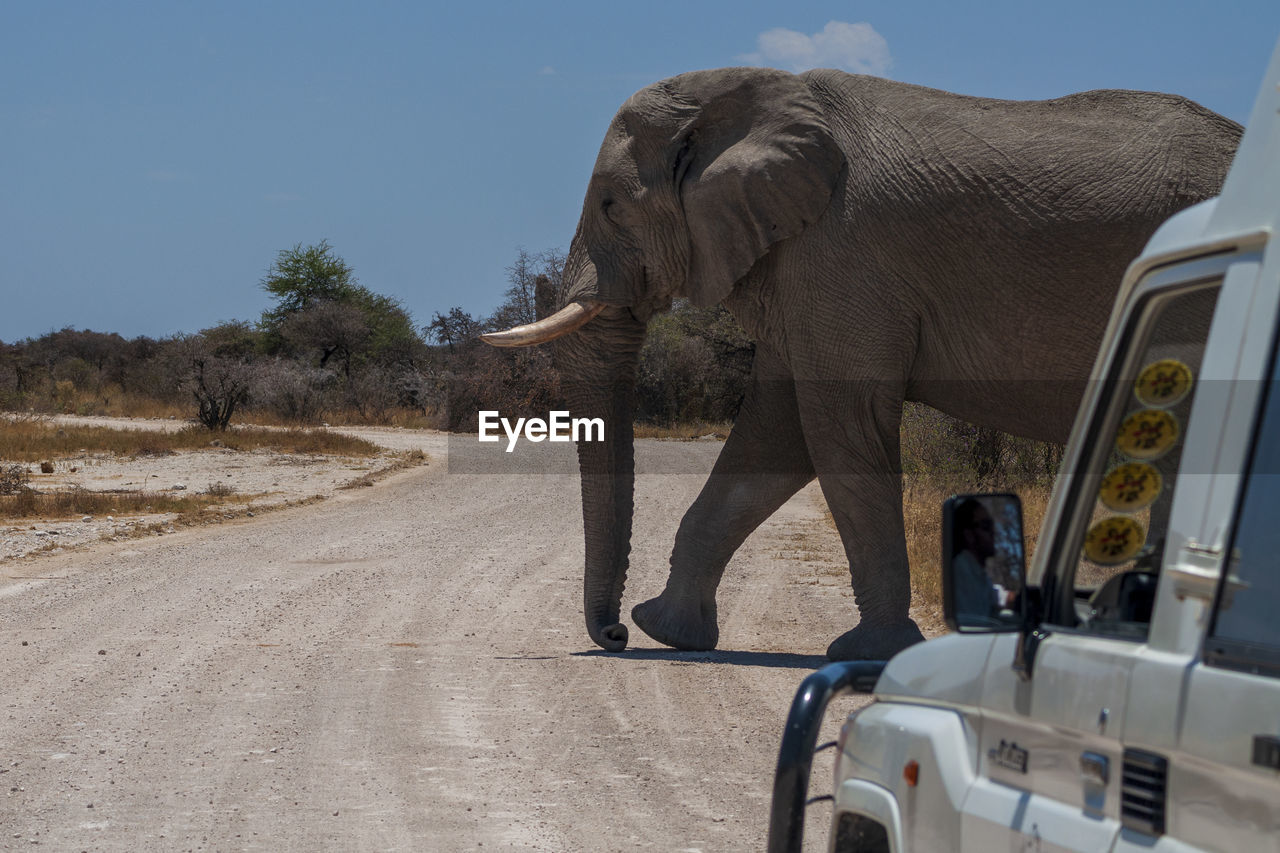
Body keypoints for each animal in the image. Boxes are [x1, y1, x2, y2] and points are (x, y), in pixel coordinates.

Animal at [481, 68, 1239, 655]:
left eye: (611, 206)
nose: (611, 635)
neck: (745, 94)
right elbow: (773, 438)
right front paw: (668, 631)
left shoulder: (842, 254)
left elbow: (838, 429)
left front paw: (866, 653)